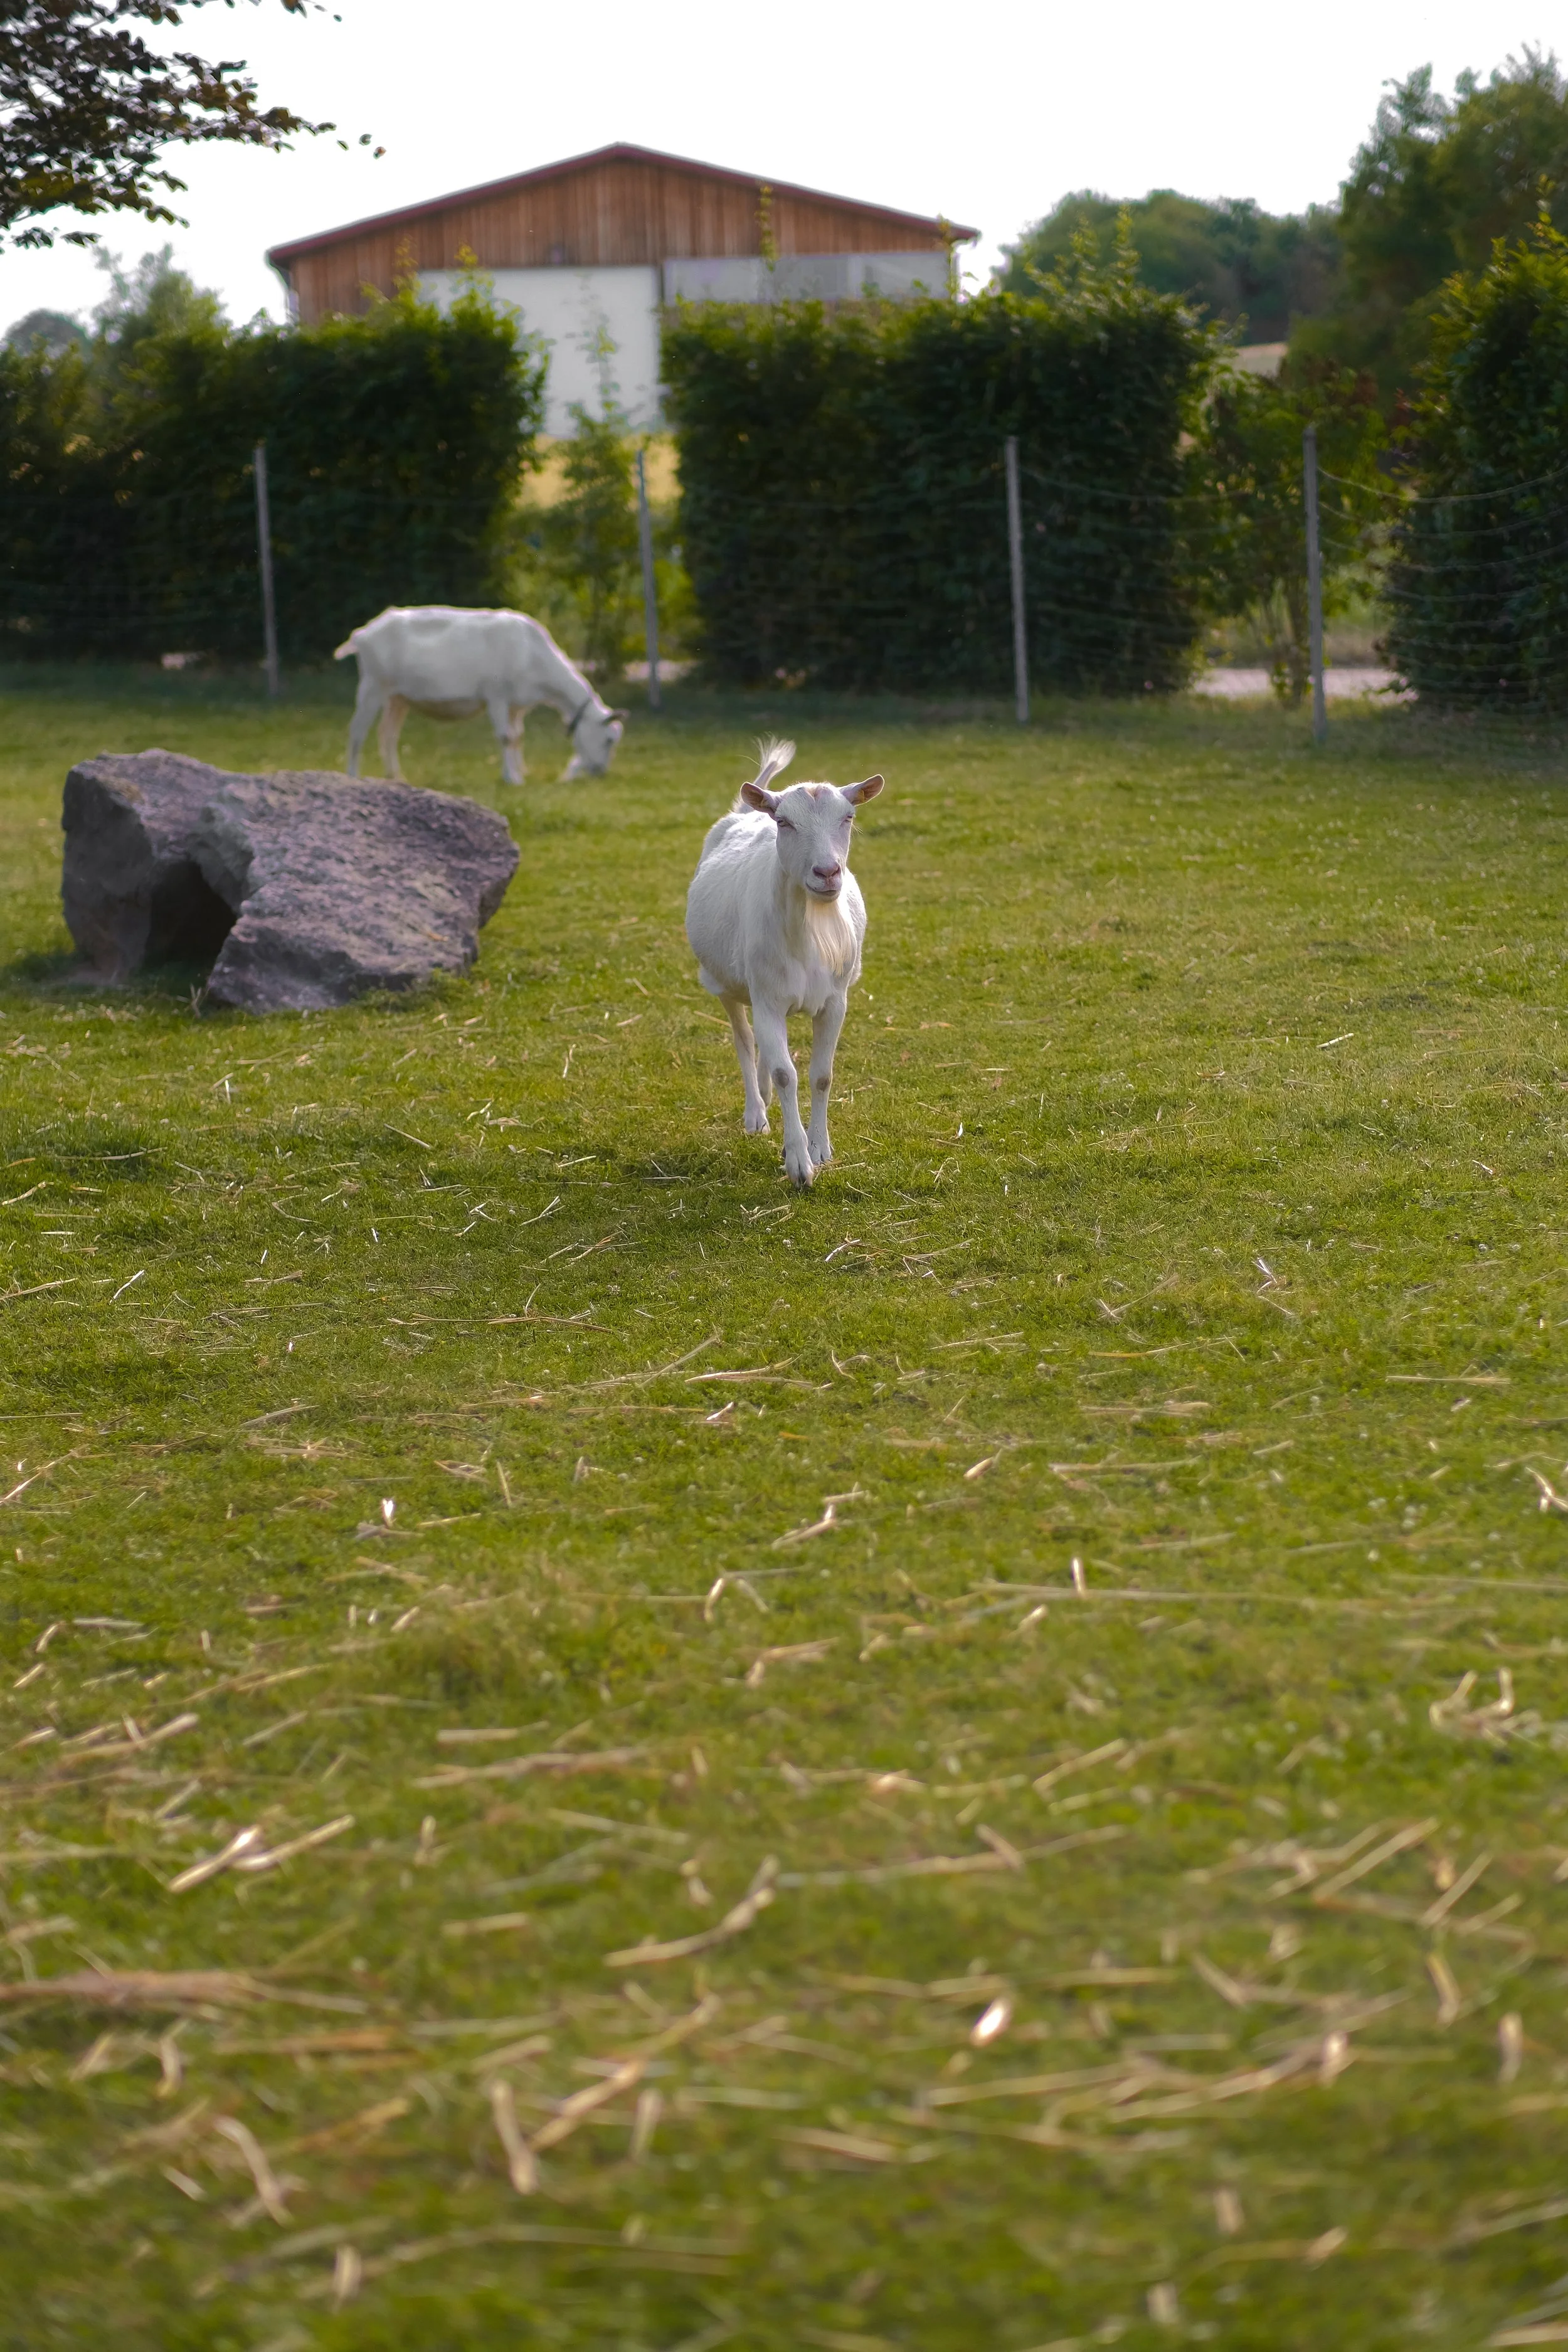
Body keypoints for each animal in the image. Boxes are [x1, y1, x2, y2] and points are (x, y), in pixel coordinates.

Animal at [686, 739, 884, 1187]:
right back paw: (756, 1114)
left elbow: (821, 1074)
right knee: (744, 1040)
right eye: (784, 822)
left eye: (848, 817)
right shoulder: (768, 998)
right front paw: (798, 1162)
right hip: (726, 985)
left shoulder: (835, 1000)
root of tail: (744, 814)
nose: (827, 872)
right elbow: (784, 1073)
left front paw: (820, 1149)